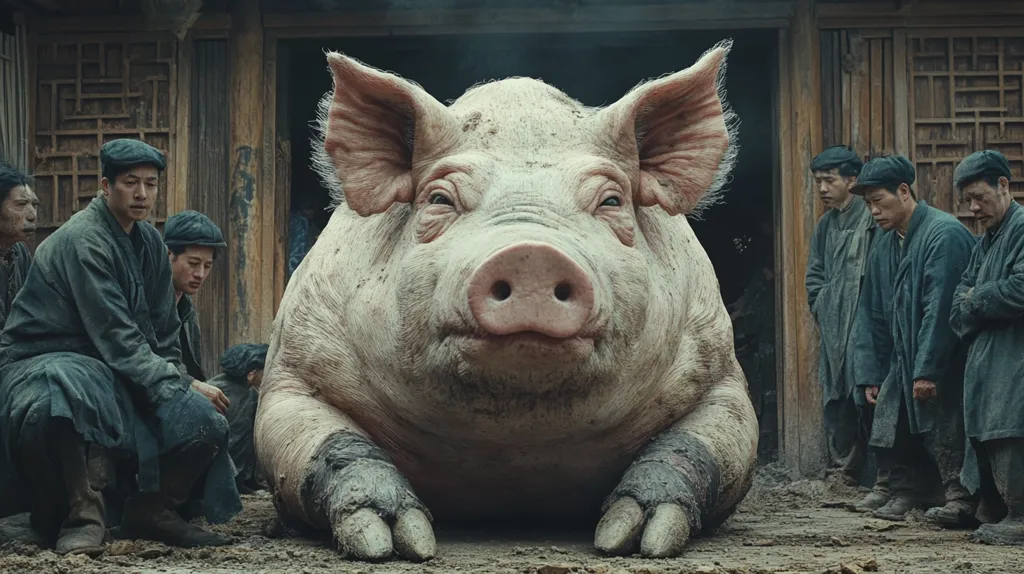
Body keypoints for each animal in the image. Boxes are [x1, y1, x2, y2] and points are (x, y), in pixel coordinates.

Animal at [254, 39, 759, 562]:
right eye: (439, 199)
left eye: (612, 201)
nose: (530, 254)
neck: (511, 456)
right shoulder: (295, 373)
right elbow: (331, 443)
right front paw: (391, 543)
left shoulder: (719, 375)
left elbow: (697, 445)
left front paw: (634, 540)